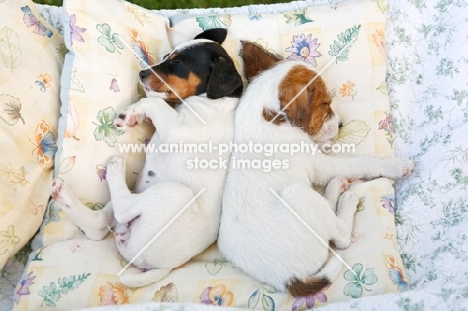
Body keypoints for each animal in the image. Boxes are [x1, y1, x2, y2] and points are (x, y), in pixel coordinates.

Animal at [50, 28, 241, 288]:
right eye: (167, 56)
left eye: (178, 63)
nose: (141, 73)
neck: (212, 102)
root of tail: (159, 266)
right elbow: (156, 103)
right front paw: (134, 116)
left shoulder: (177, 129)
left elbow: (153, 101)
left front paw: (130, 113)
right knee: (99, 226)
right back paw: (63, 193)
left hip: (174, 193)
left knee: (122, 208)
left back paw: (115, 169)